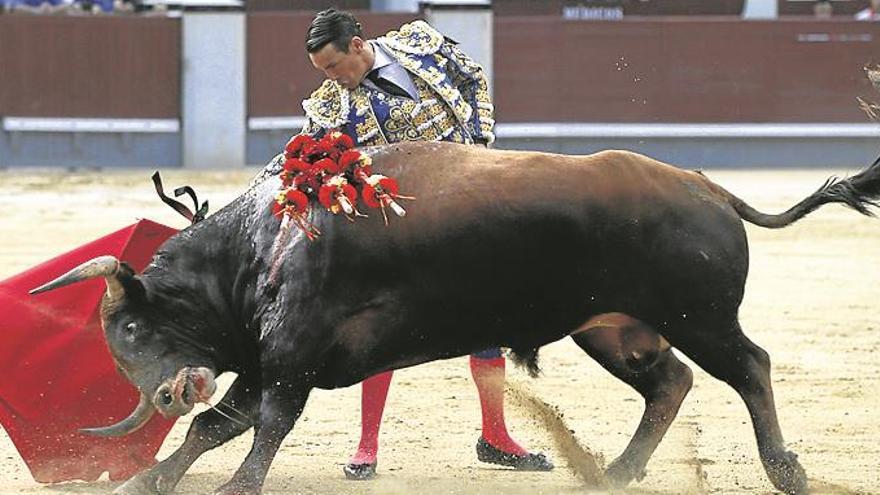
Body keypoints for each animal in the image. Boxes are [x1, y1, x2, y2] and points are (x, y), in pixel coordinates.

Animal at [31, 141, 880, 494]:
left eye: (131, 329)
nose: (163, 393)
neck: (265, 242)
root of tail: (708, 186)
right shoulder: (266, 357)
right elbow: (216, 425)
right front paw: (143, 480)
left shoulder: (292, 354)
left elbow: (260, 424)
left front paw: (237, 486)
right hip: (611, 326)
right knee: (670, 382)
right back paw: (615, 472)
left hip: (699, 314)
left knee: (750, 367)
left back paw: (786, 471)